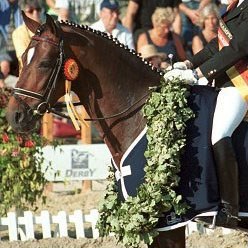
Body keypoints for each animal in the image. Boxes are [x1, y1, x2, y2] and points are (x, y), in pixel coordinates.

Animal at [6, 14, 248, 248]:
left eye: (45, 63)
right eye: (21, 60)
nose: (14, 116)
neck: (144, 112)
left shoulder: (171, 220)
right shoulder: (152, 221)